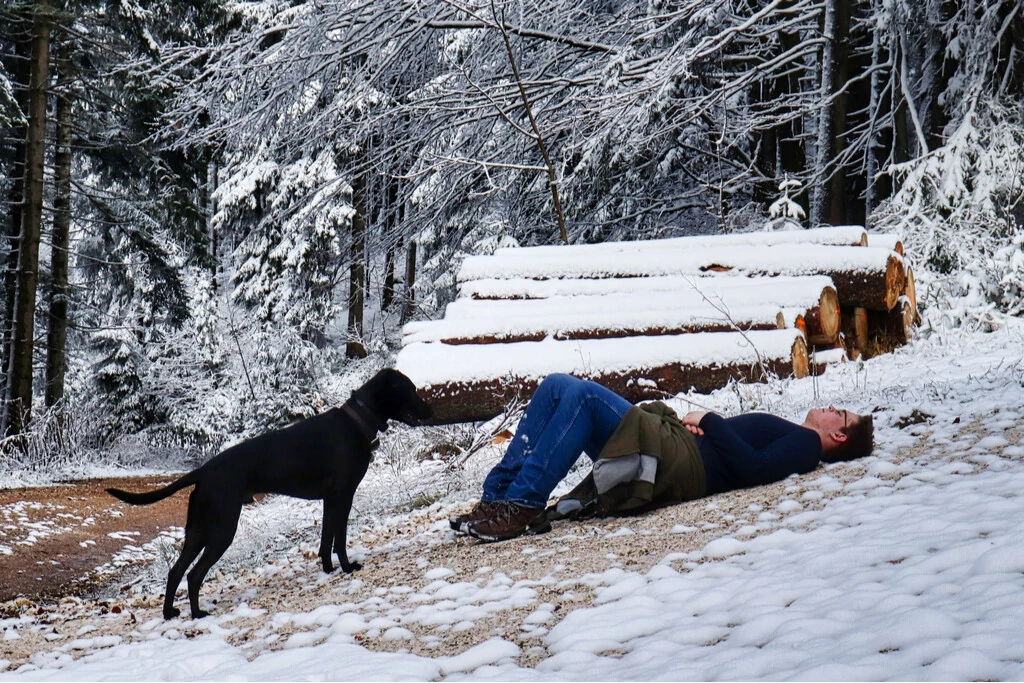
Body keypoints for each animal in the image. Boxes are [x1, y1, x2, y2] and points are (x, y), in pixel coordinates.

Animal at [107, 368, 432, 618]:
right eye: (411, 389)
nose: (430, 410)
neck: (357, 421)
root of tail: (204, 471)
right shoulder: (343, 497)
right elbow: (339, 539)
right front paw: (348, 567)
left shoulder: (330, 500)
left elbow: (325, 540)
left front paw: (328, 570)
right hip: (222, 530)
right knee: (193, 573)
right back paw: (197, 613)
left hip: (198, 530)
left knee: (175, 571)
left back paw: (169, 613)